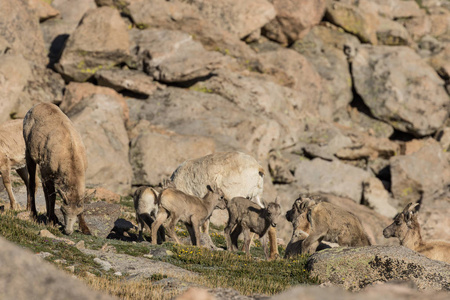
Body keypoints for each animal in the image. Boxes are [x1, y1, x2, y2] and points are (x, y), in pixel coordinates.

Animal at [23, 102, 90, 234]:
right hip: (29, 153)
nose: (68, 231)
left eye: (77, 213)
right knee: (33, 184)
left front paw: (85, 229)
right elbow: (52, 196)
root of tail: (35, 106)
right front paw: (50, 222)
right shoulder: (47, 173)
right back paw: (34, 215)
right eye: (63, 211)